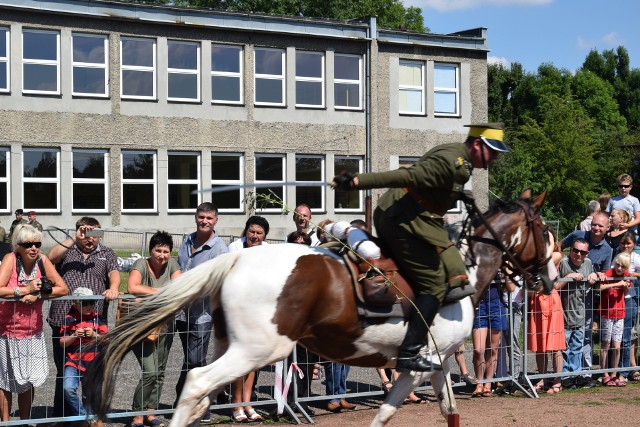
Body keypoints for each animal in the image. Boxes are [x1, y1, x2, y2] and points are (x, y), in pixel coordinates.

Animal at [84, 192, 556, 426]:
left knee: (198, 395)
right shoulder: (417, 366)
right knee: (198, 384)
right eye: (546, 232)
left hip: (228, 346)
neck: (464, 267)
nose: (549, 279)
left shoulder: (437, 366)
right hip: (258, 351)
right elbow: (388, 411)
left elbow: (444, 413)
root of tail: (236, 259)